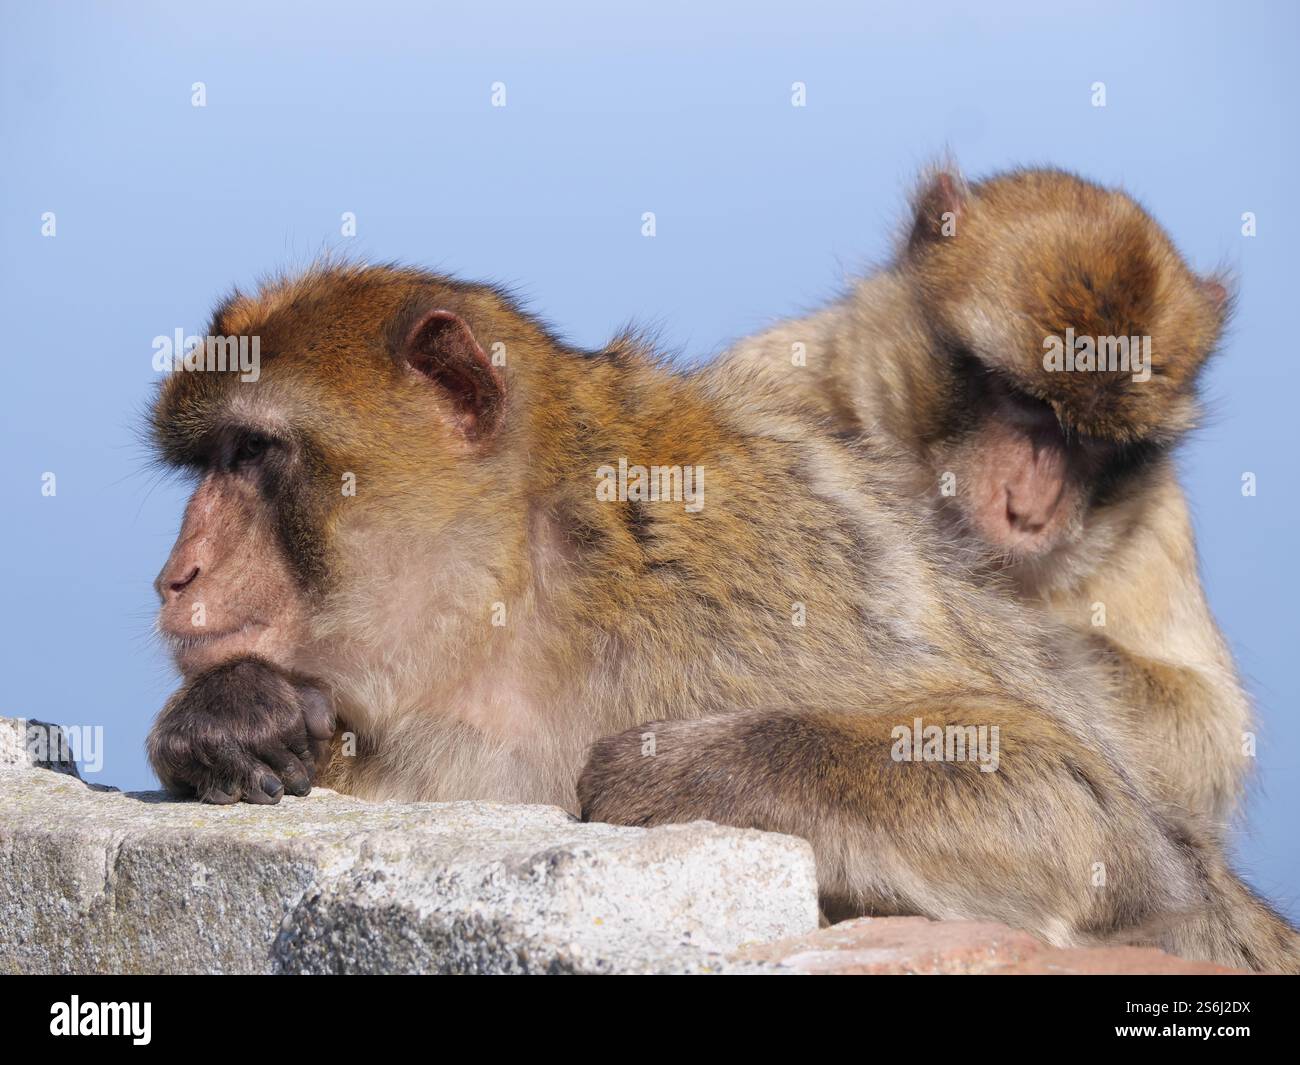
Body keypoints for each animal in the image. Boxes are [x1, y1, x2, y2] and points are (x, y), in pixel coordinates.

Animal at [144, 261, 1298, 972]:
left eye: (254, 455)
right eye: (210, 460)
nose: (175, 572)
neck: (516, 594)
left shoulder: (750, 566)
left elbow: (1102, 827)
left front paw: (671, 770)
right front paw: (224, 715)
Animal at [711, 167, 1253, 828]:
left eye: (1095, 443)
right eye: (1024, 400)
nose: (1030, 509)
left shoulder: (1156, 521)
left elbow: (1212, 732)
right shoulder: (773, 379)